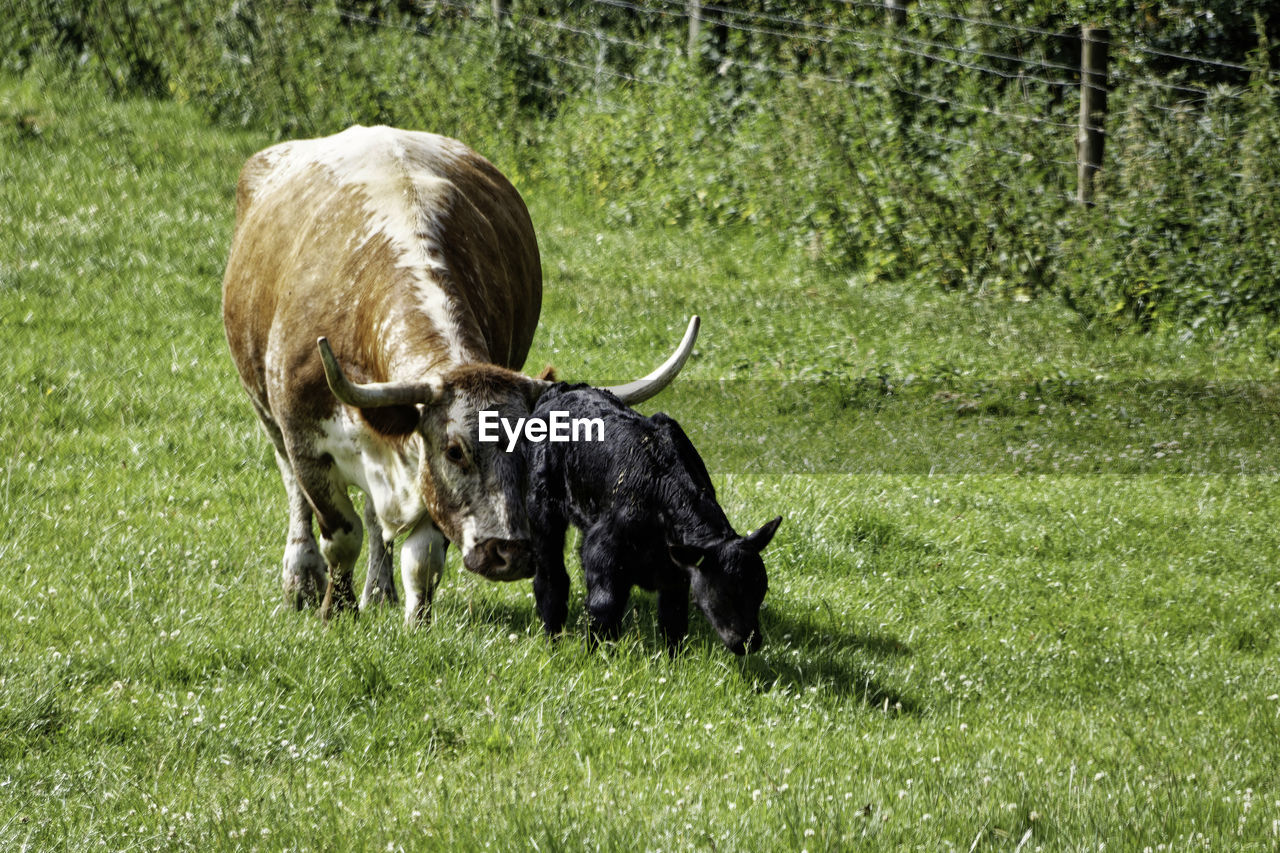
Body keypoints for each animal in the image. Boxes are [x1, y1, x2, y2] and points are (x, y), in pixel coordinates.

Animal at [221, 125, 697, 625]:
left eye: (530, 450)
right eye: (454, 451)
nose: (510, 554)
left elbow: (423, 556)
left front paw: (416, 624)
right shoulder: (306, 443)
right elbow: (341, 535)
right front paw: (337, 609)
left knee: (375, 518)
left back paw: (380, 590)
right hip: (268, 416)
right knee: (297, 496)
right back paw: (301, 578)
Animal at [523, 383, 782, 654]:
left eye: (760, 589)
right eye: (725, 593)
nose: (749, 642)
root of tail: (563, 389)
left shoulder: (676, 577)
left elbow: (673, 623)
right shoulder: (602, 555)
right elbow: (603, 611)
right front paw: (596, 658)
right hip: (541, 510)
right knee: (551, 579)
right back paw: (553, 643)